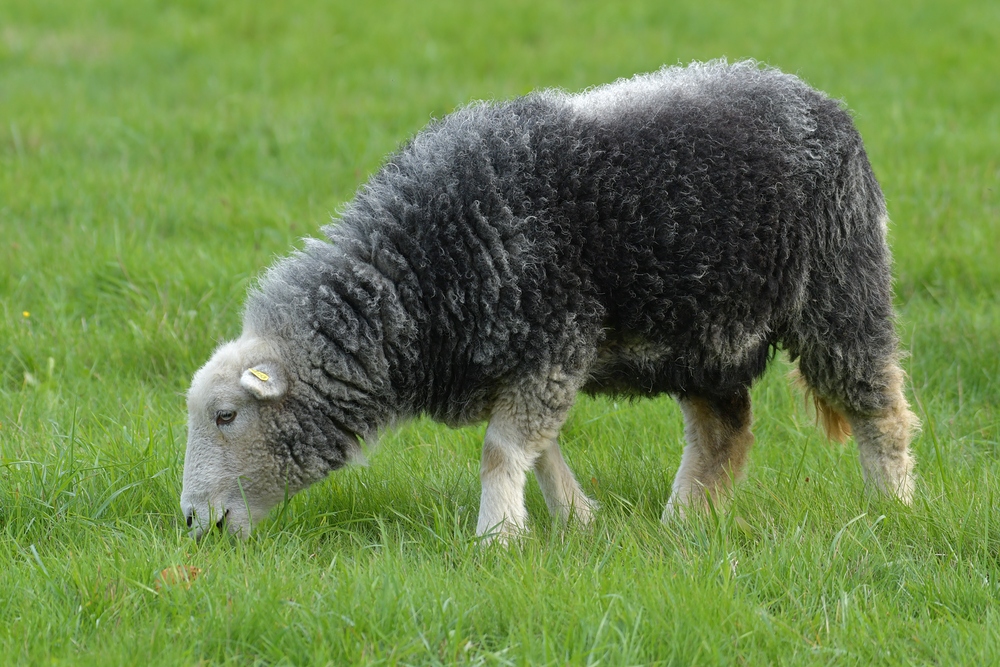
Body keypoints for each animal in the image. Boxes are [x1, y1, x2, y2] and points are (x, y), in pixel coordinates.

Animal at [182, 58, 920, 544]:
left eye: (226, 415)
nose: (192, 521)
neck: (414, 277)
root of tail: (820, 101)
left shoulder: (554, 339)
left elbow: (501, 452)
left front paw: (497, 539)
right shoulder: (521, 361)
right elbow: (537, 450)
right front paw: (575, 519)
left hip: (839, 289)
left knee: (880, 408)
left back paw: (894, 507)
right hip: (704, 336)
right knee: (724, 431)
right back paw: (682, 524)